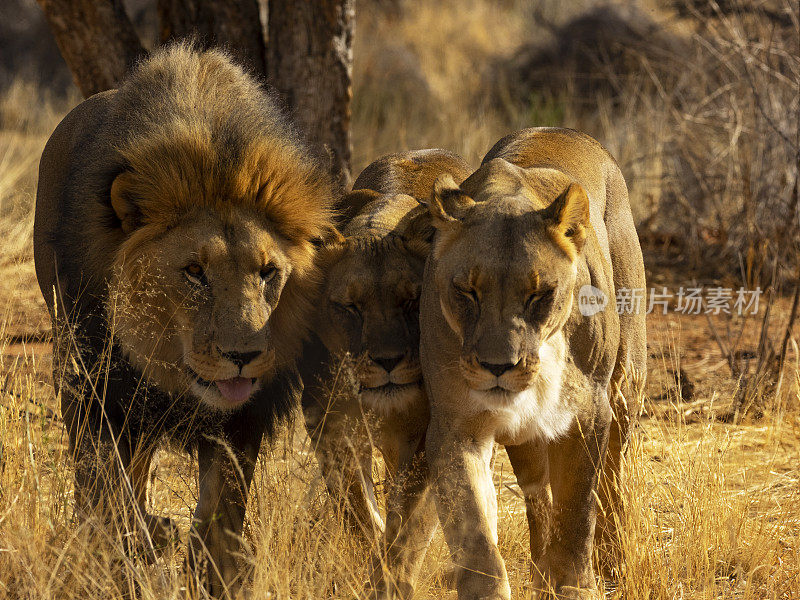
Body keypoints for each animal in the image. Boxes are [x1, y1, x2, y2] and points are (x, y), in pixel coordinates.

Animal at [33, 45, 334, 596]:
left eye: (268, 272)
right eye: (195, 272)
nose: (243, 356)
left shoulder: (241, 419)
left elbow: (222, 509)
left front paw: (211, 575)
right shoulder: (95, 389)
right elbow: (106, 490)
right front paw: (125, 552)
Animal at [304, 149, 472, 596]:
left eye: (411, 302)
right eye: (351, 307)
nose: (387, 361)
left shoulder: (431, 438)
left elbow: (410, 526)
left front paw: (393, 581)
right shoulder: (328, 427)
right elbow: (358, 510)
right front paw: (373, 554)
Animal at [416, 129, 648, 596]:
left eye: (539, 294)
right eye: (467, 292)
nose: (498, 367)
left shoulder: (588, 412)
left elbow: (577, 512)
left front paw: (577, 586)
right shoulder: (456, 424)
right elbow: (474, 531)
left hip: (625, 387)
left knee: (613, 481)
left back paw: (613, 565)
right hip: (523, 436)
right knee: (538, 496)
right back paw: (541, 575)